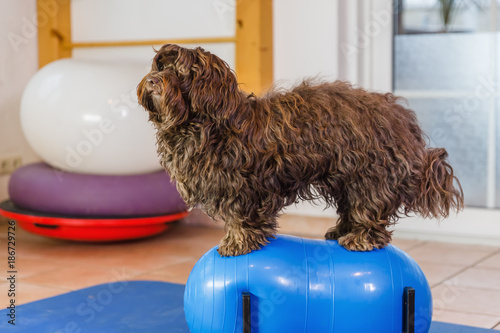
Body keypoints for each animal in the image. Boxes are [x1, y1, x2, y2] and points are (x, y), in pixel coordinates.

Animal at [138, 44, 464, 255]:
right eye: (160, 67)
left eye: (181, 72)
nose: (152, 80)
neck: (204, 124)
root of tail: (400, 117)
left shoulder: (242, 188)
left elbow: (240, 218)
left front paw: (236, 243)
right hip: (346, 177)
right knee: (352, 207)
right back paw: (341, 231)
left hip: (369, 175)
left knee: (369, 208)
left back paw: (361, 238)